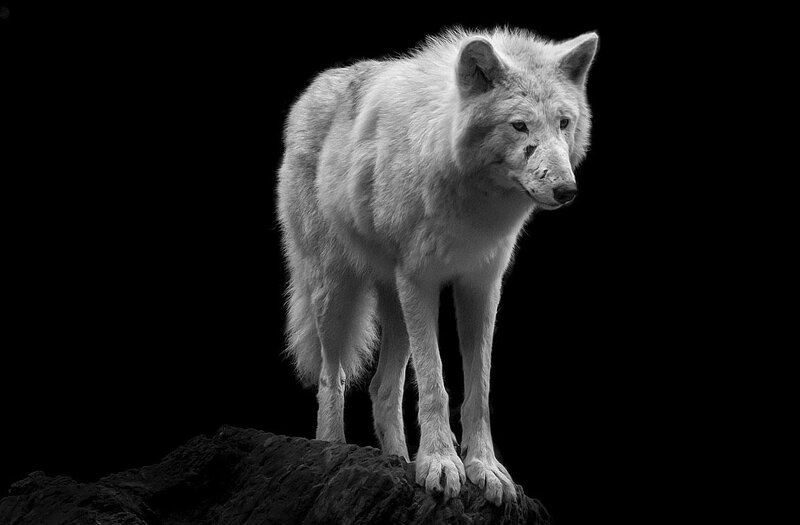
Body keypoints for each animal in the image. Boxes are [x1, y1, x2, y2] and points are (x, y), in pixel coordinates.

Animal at [277, 27, 598, 505]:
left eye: (564, 122)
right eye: (520, 125)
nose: (565, 190)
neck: (472, 201)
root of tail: (316, 87)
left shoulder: (481, 285)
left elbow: (478, 389)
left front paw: (485, 469)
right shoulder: (421, 281)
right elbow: (435, 383)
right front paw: (441, 464)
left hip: (394, 302)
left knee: (381, 387)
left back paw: (397, 460)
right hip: (335, 291)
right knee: (332, 378)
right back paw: (333, 447)